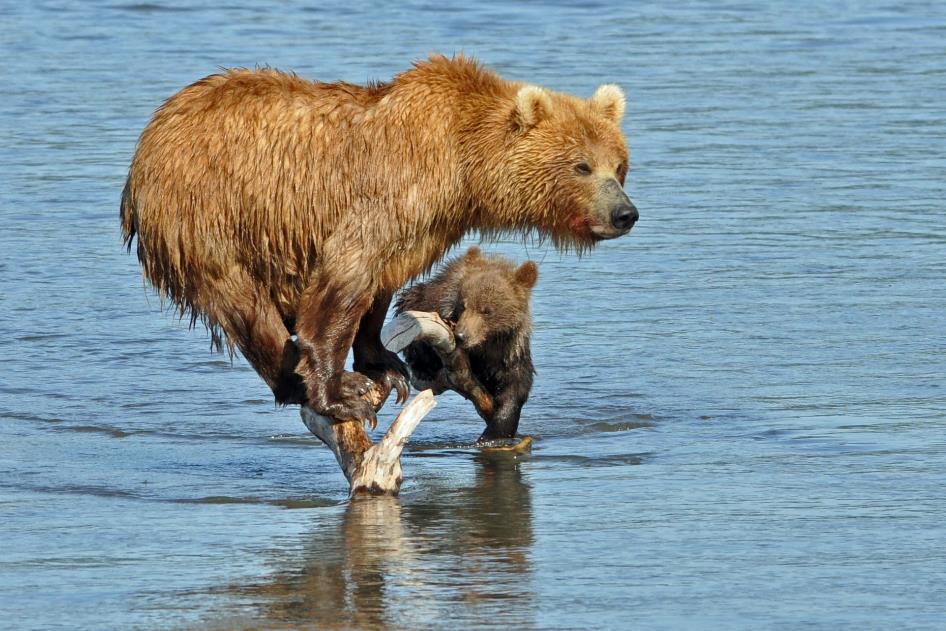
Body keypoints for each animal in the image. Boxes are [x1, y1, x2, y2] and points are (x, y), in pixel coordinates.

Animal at [118, 55, 636, 430]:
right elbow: (346, 275)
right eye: (581, 165)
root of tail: (146, 144)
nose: (625, 213)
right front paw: (340, 394)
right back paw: (291, 378)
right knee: (241, 302)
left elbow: (382, 284)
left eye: (619, 164)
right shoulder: (392, 191)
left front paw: (384, 365)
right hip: (207, 212)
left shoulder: (424, 226)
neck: (463, 165)